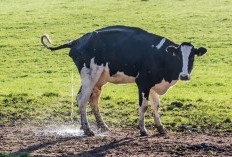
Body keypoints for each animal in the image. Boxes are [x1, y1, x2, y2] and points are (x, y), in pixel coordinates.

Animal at [41, 25, 207, 136]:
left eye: (192, 57)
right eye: (178, 56)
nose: (184, 75)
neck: (160, 56)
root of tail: (76, 41)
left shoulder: (153, 84)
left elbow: (156, 105)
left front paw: (160, 128)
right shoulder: (143, 83)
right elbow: (144, 106)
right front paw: (143, 130)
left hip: (99, 79)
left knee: (93, 99)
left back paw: (101, 126)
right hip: (90, 76)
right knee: (82, 98)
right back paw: (88, 129)